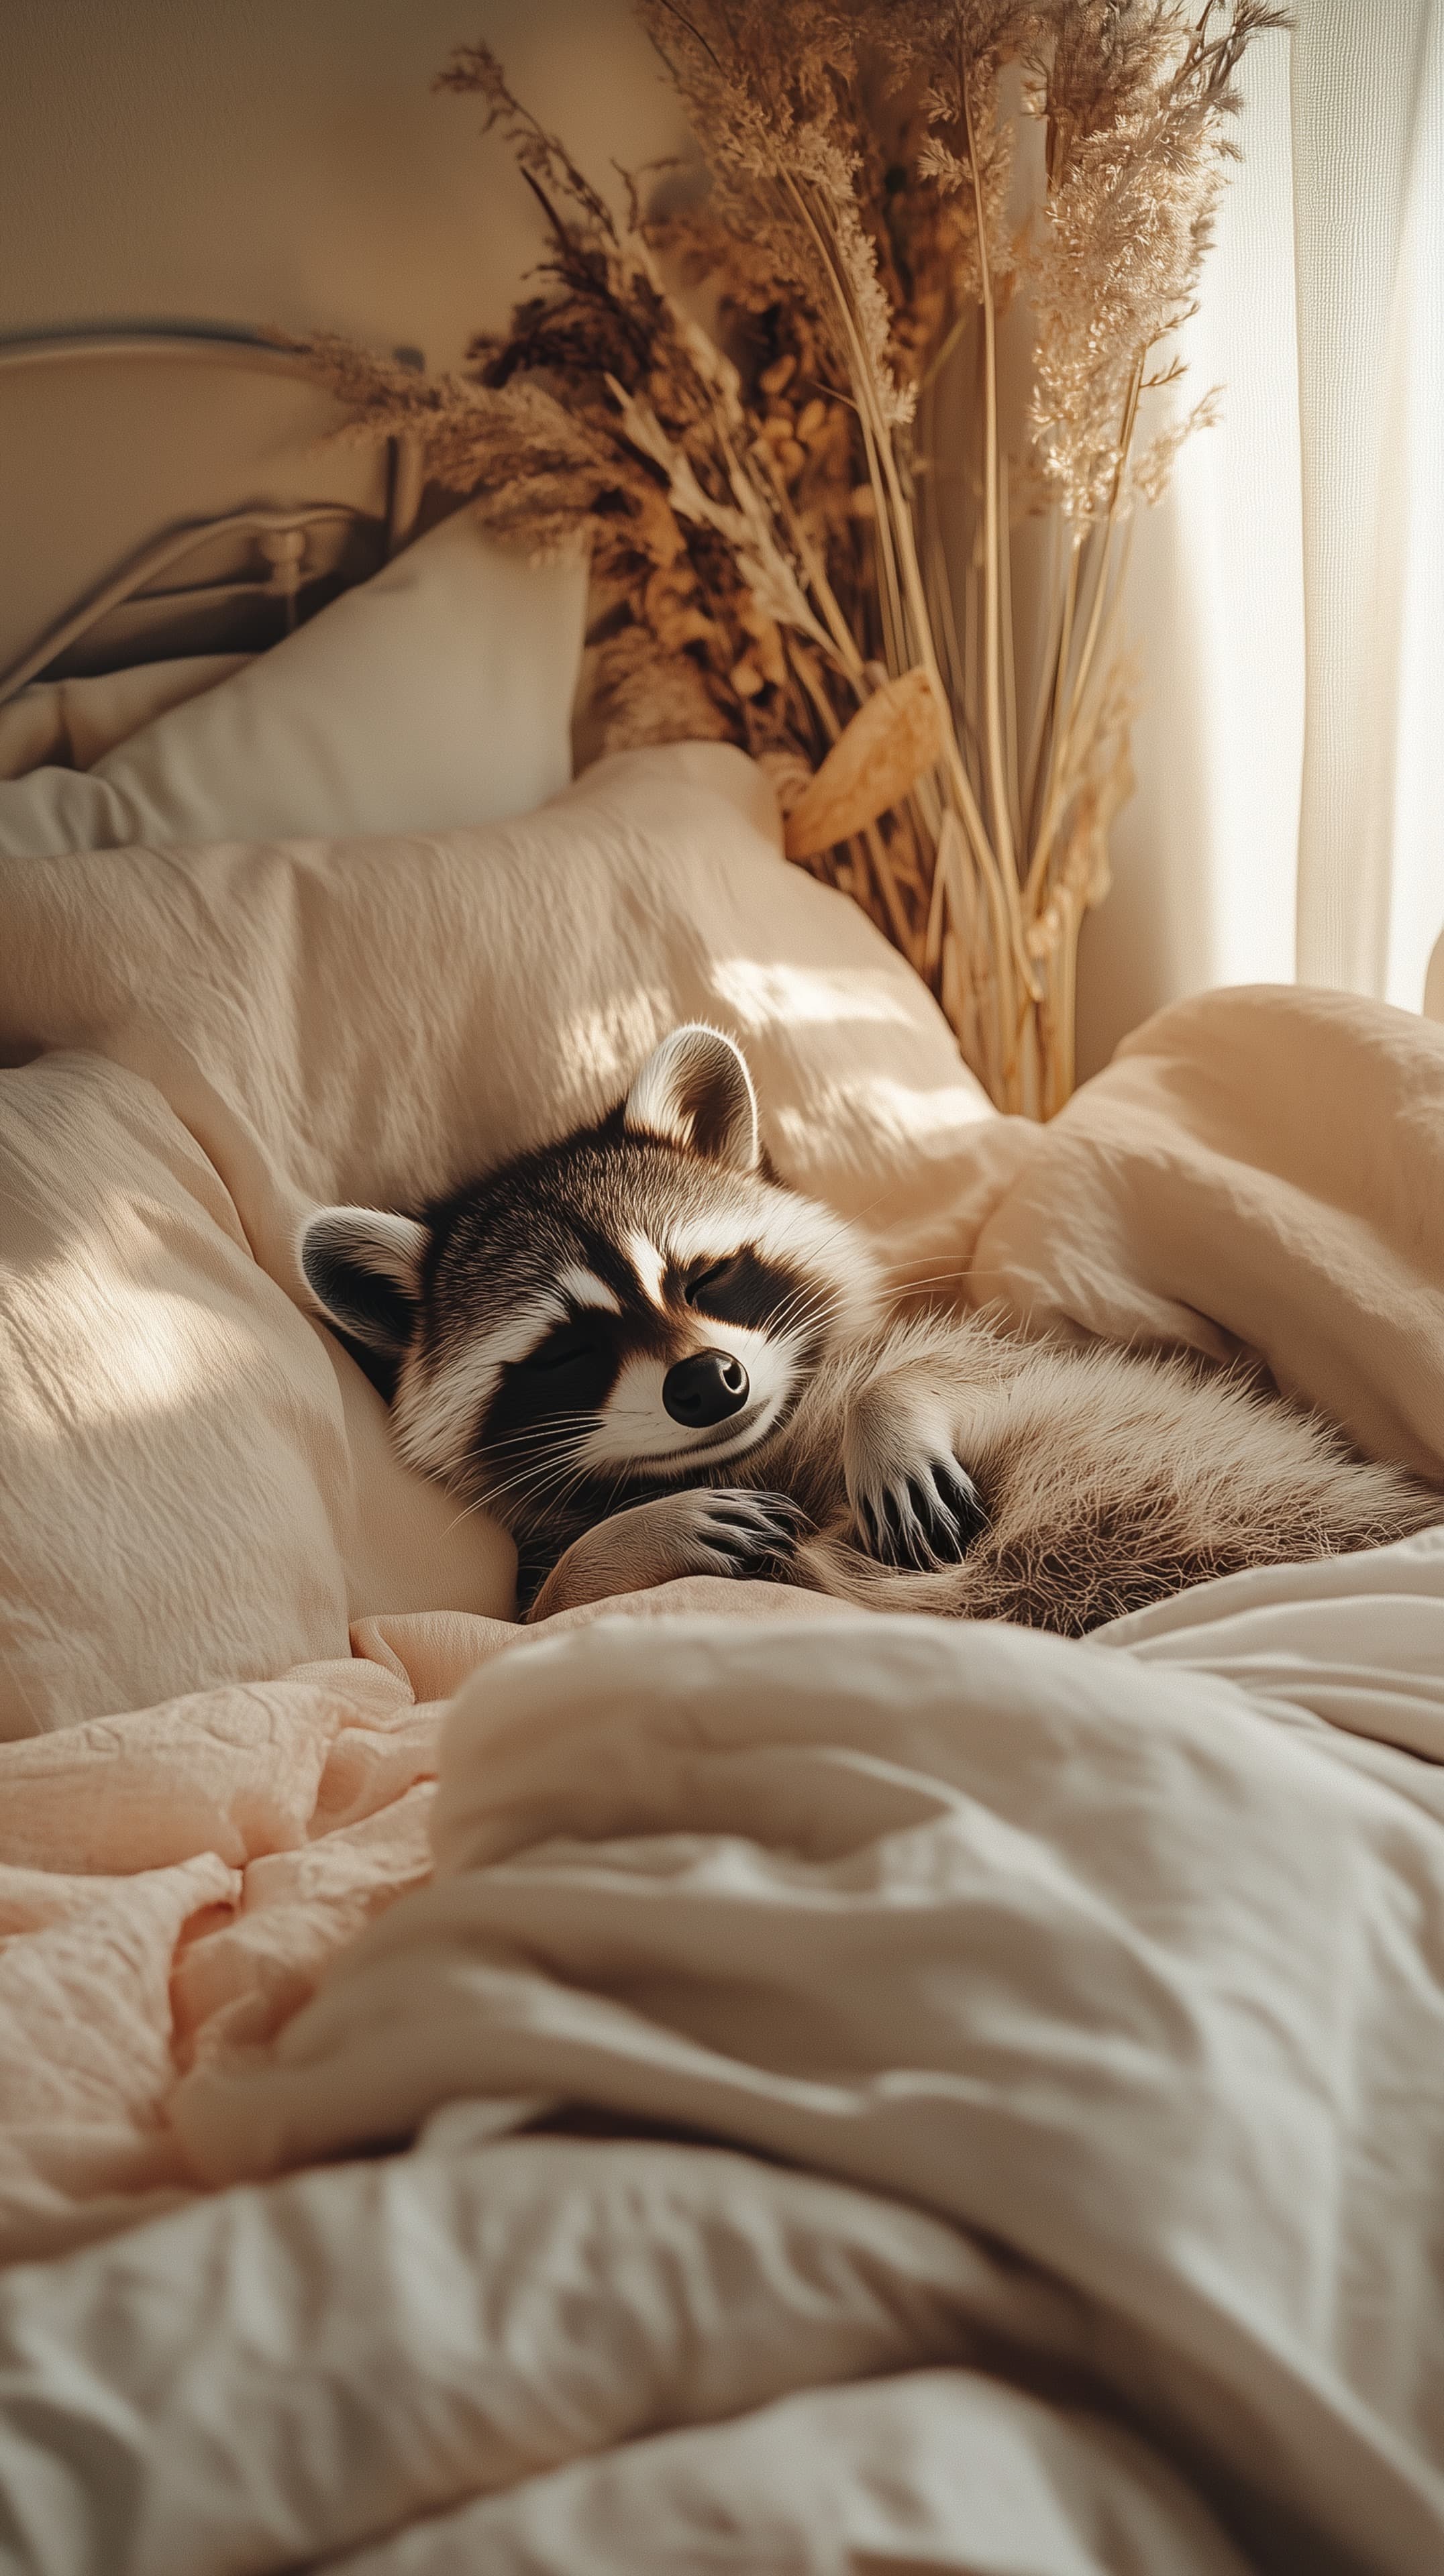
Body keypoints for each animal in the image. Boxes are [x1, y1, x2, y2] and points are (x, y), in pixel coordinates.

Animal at [299, 1024, 1442, 1635]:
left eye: (706, 1275)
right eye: (572, 1348)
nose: (708, 1384)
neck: (755, 1442)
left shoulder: (1025, 1345)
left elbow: (989, 1356)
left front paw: (890, 1414)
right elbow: (536, 1619)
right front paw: (629, 1539)